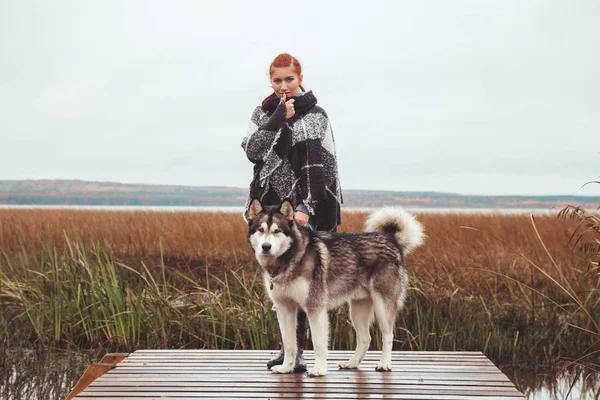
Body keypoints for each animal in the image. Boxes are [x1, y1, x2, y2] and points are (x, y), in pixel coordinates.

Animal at [246, 198, 424, 376]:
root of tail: (391, 239)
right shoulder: (284, 308)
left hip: (383, 307)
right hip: (357, 310)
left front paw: (318, 369)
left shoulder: (315, 308)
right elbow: (289, 344)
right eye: (261, 230)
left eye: (277, 231)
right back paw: (351, 363)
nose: (266, 247)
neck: (289, 259)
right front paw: (286, 368)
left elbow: (318, 343)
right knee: (365, 339)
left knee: (387, 335)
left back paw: (384, 364)